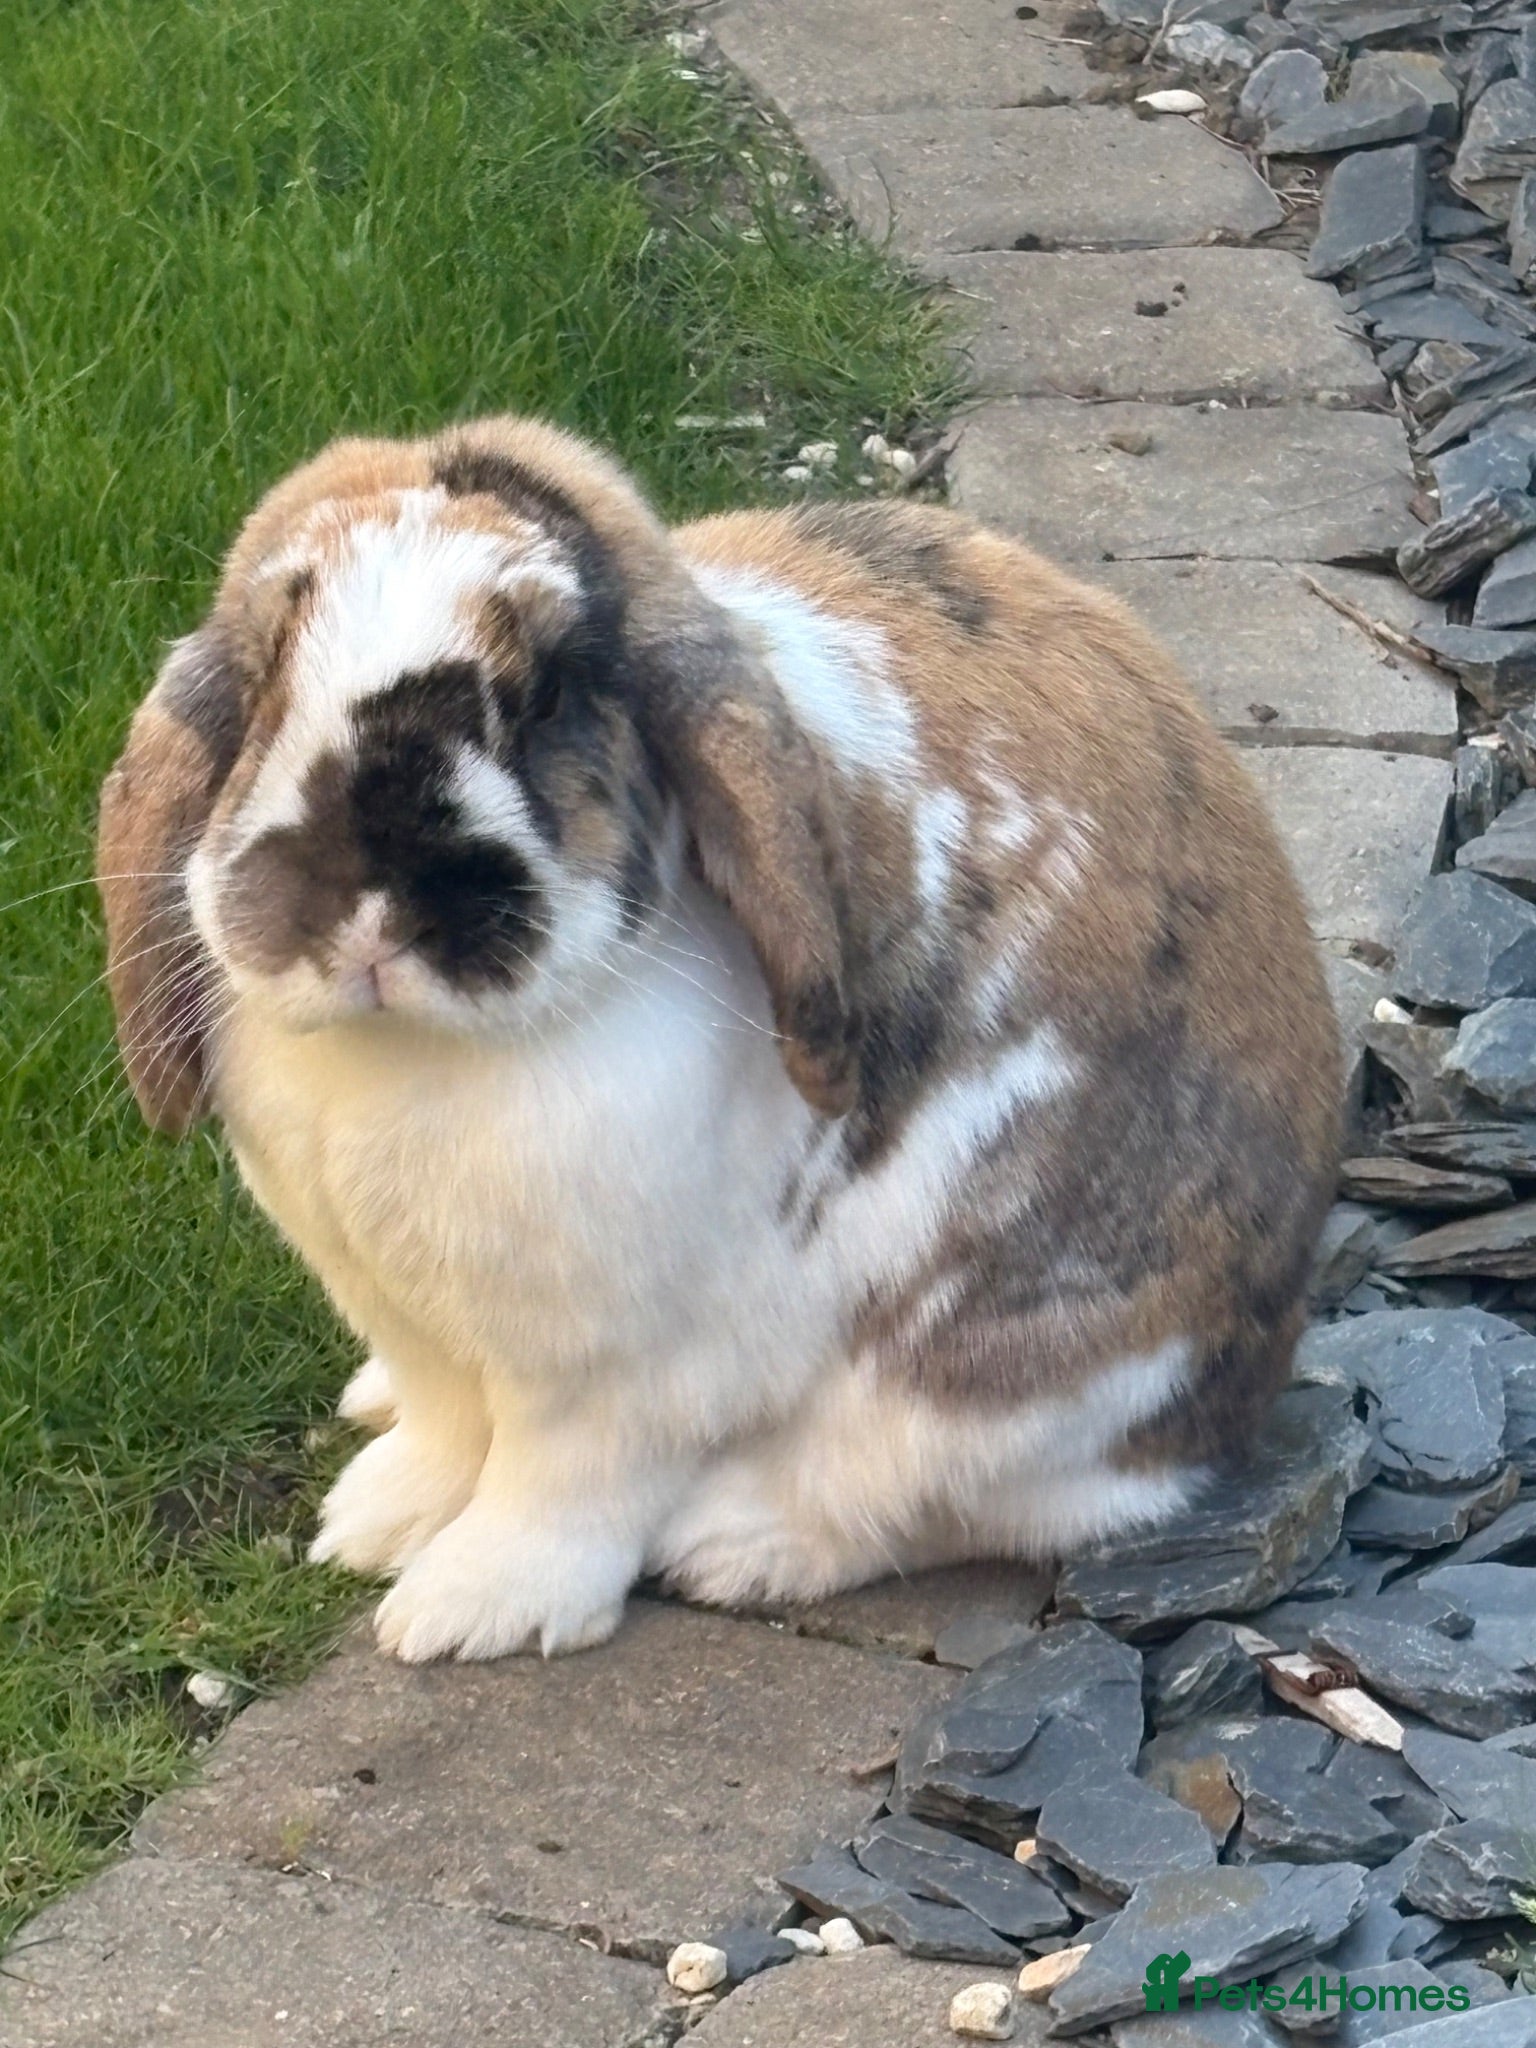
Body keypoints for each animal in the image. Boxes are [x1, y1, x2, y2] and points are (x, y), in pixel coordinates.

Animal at [98, 414, 1341, 1663]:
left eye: (548, 693)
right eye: (265, 677)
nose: (370, 907)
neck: (399, 1055)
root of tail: (1247, 1379)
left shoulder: (608, 1370)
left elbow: (554, 1486)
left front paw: (466, 1610)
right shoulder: (409, 1318)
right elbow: (446, 1430)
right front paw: (369, 1521)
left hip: (1012, 1387)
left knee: (957, 1502)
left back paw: (738, 1544)